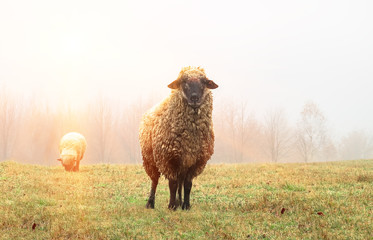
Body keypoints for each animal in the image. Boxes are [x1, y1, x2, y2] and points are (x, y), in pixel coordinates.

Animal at [139, 66, 218, 210]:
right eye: (183, 82)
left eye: (204, 82)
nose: (194, 97)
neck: (190, 136)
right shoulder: (168, 158)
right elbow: (173, 184)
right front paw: (171, 206)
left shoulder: (195, 160)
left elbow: (187, 185)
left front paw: (186, 205)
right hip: (150, 159)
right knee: (154, 180)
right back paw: (150, 203)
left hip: (182, 164)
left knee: (180, 182)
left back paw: (179, 202)